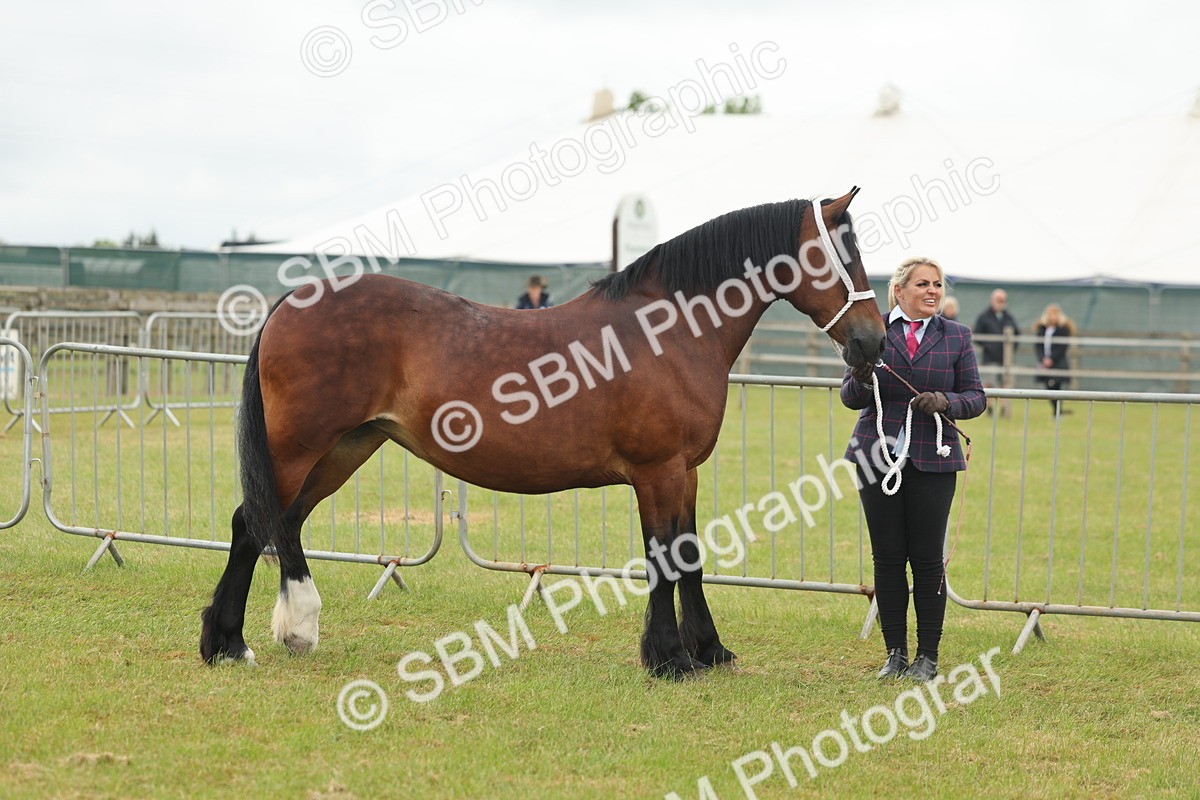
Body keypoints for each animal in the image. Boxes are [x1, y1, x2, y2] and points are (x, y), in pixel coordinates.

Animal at [200, 189, 886, 678]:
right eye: (840, 253)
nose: (873, 343)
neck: (665, 328)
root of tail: (291, 302)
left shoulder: (685, 471)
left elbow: (688, 555)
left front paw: (710, 652)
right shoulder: (658, 470)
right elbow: (664, 556)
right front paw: (669, 658)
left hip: (347, 447)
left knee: (282, 523)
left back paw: (279, 632)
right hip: (300, 447)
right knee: (250, 523)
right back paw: (228, 643)